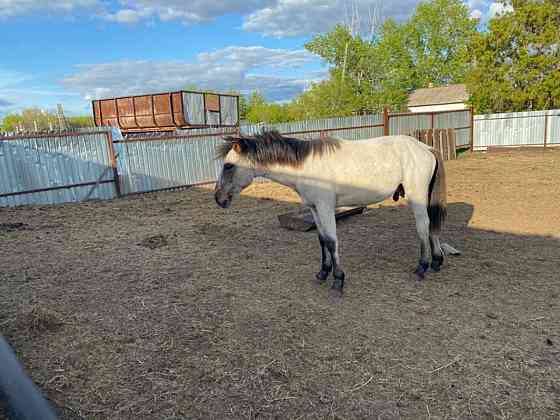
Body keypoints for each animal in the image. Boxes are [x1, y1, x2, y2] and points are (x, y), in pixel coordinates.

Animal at [214, 130, 460, 296]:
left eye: (228, 166)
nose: (219, 198)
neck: (306, 167)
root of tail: (425, 148)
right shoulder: (315, 209)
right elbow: (322, 240)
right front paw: (322, 273)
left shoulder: (325, 208)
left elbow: (332, 242)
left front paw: (338, 280)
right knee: (432, 227)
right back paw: (437, 262)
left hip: (417, 196)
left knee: (423, 226)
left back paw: (422, 267)